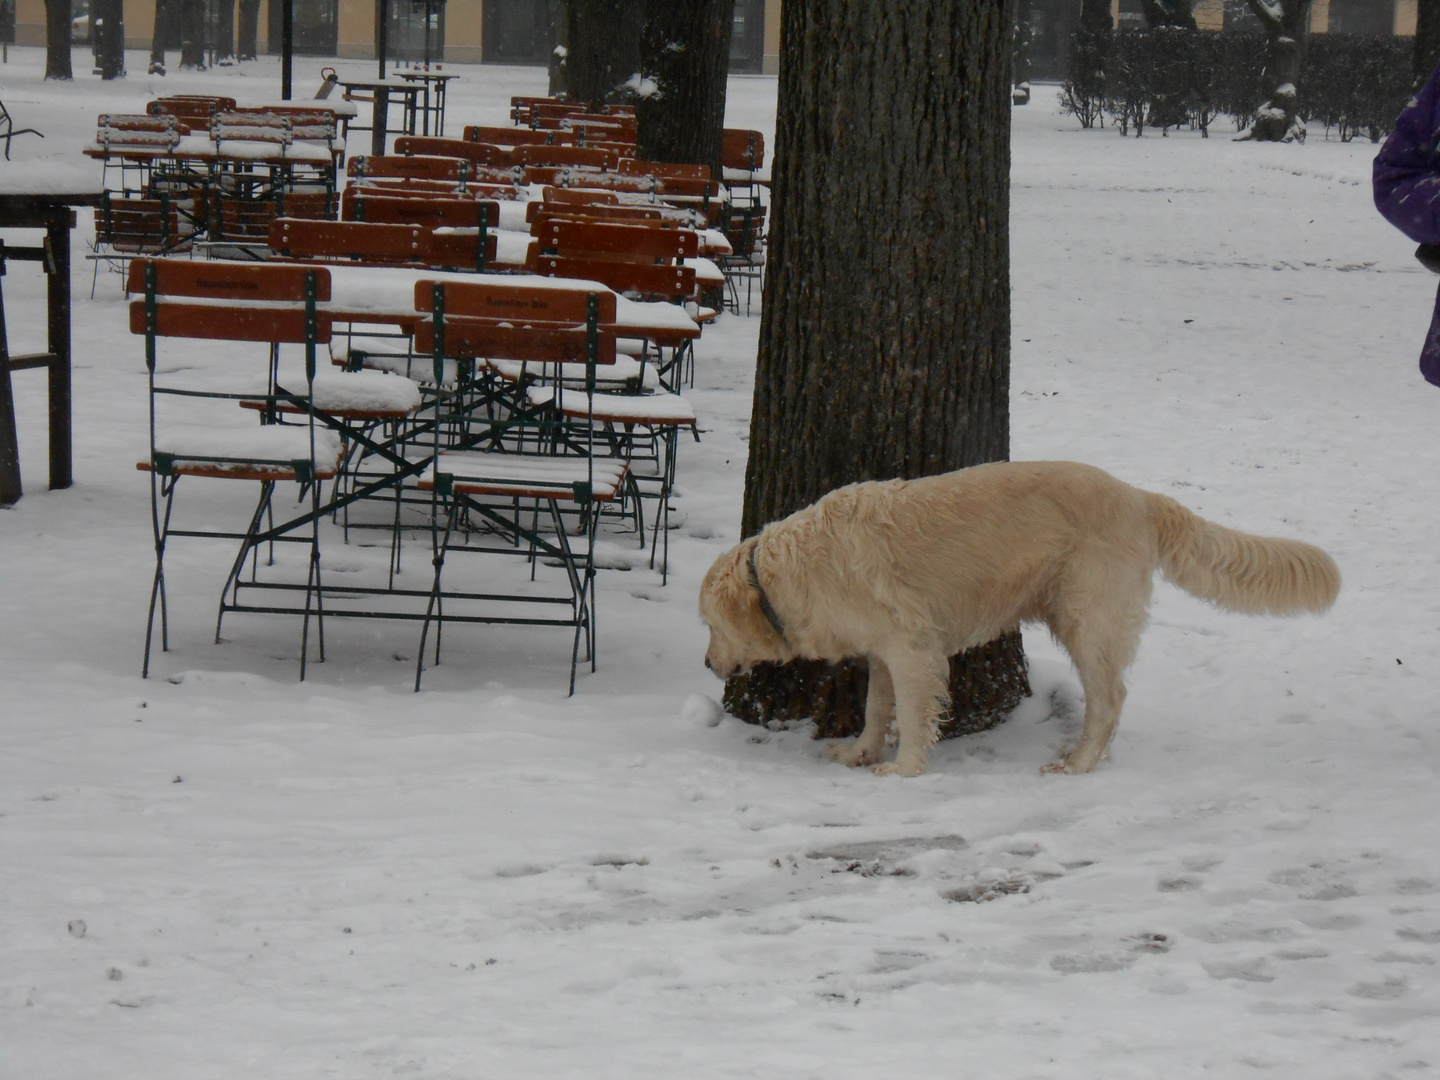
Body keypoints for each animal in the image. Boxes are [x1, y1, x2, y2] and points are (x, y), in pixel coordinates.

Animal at [696, 460, 1336, 783]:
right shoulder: (882, 649)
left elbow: (912, 712)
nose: (706, 662)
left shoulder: (911, 646)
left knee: (1111, 698)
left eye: (708, 624)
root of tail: (1139, 496)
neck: (784, 572)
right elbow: (877, 708)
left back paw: (1077, 763)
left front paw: (903, 770)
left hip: (1086, 617)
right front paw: (860, 753)